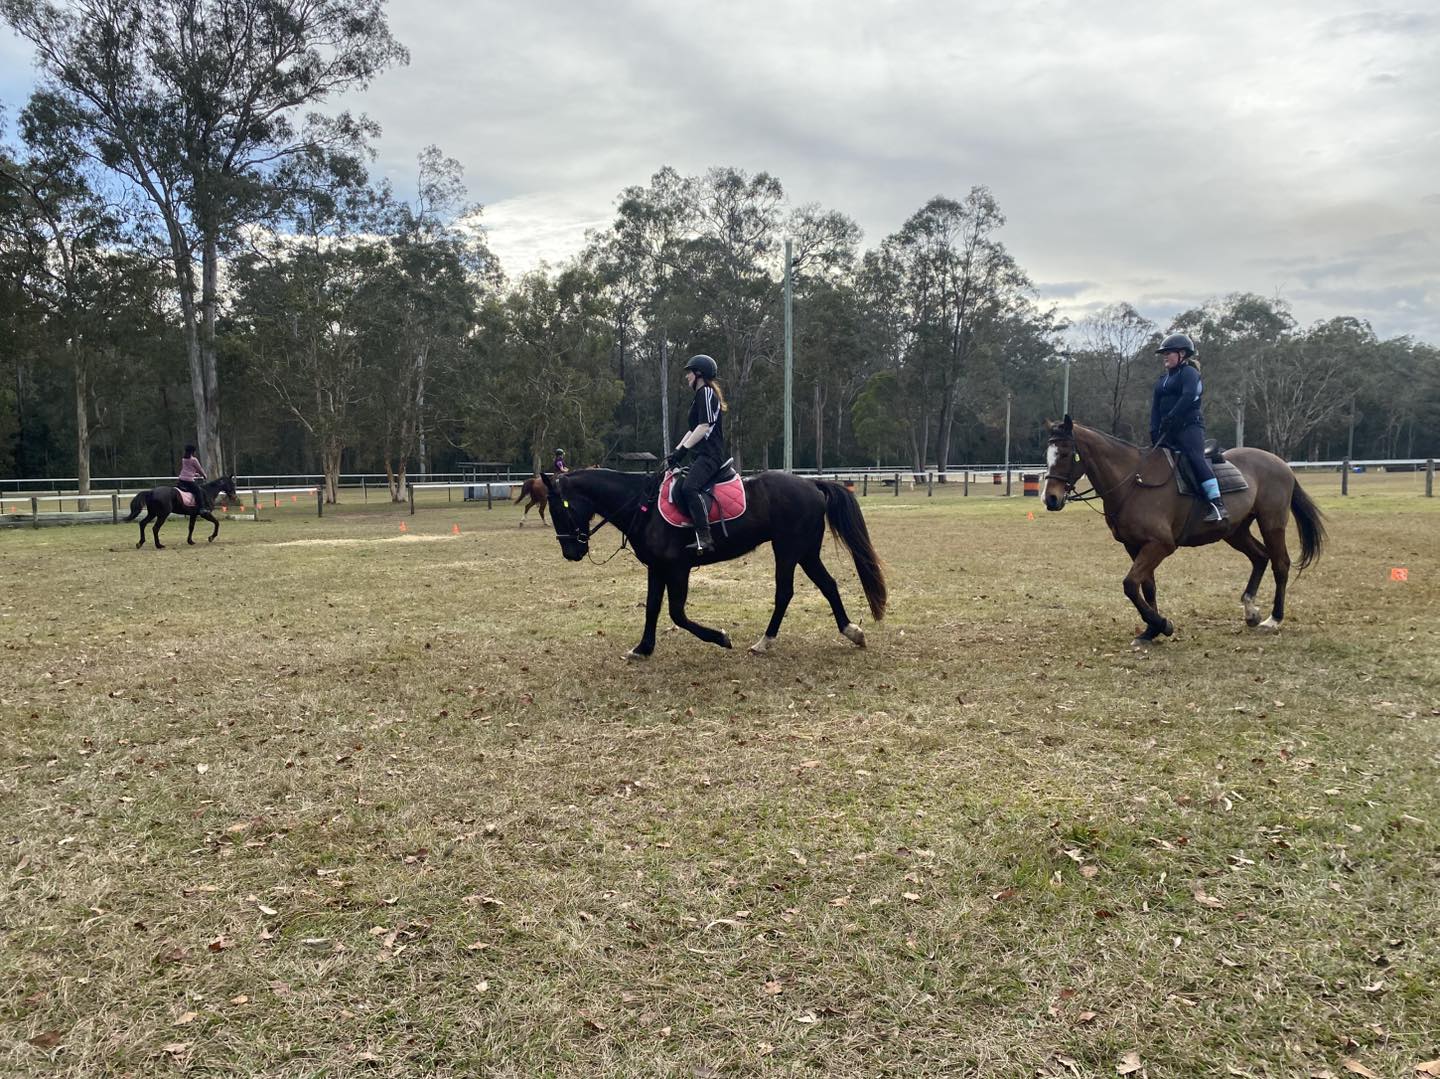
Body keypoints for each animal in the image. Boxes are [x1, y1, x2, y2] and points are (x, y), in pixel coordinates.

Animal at [541, 468, 887, 658]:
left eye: (558, 509)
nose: (570, 553)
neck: (643, 506)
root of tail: (812, 485)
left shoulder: (677, 568)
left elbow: (677, 613)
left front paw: (721, 638)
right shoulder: (656, 567)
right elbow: (652, 607)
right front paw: (643, 648)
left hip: (789, 551)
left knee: (785, 593)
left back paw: (764, 642)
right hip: (805, 552)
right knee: (828, 585)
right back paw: (852, 632)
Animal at [1042, 417, 1325, 646]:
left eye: (1065, 453)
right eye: (1048, 455)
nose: (1050, 499)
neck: (1133, 482)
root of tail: (1280, 463)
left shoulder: (1161, 545)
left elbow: (1130, 585)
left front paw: (1162, 625)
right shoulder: (1135, 546)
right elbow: (1147, 587)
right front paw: (1150, 631)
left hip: (1271, 523)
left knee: (1280, 564)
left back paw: (1274, 618)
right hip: (1235, 531)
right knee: (1260, 557)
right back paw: (1250, 611)